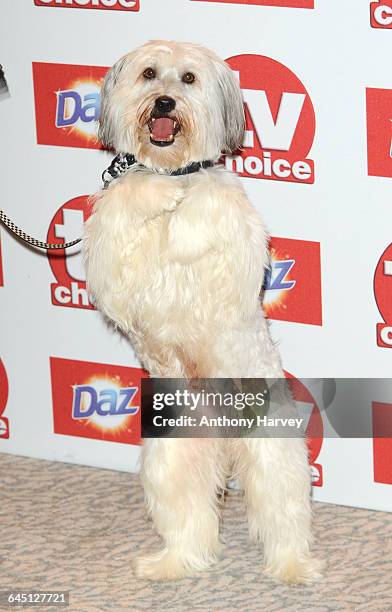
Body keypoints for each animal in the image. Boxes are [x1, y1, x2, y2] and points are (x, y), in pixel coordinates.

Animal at [84, 38, 324, 584]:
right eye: (150, 74)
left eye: (189, 79)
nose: (165, 102)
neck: (172, 169)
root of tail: (223, 437)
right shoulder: (113, 256)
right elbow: (135, 198)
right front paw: (155, 192)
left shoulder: (234, 235)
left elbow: (199, 212)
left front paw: (181, 207)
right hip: (170, 461)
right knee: (191, 524)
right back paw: (173, 563)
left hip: (273, 453)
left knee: (283, 515)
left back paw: (292, 566)